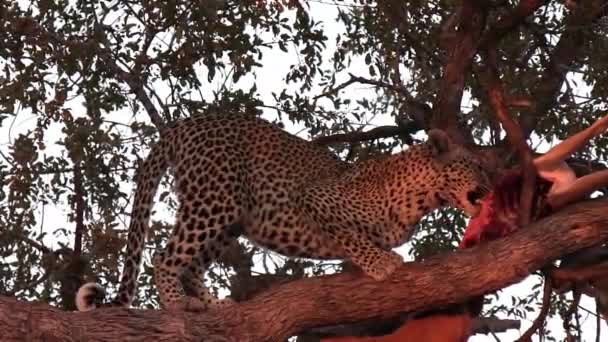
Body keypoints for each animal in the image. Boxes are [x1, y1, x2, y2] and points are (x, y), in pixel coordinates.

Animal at [76, 112, 494, 312]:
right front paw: (382, 264)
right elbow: (351, 236)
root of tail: (186, 124)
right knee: (165, 256)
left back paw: (212, 304)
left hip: (229, 216)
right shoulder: (313, 198)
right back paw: (177, 304)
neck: (422, 197)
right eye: (477, 165)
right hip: (214, 202)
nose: (493, 182)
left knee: (192, 265)